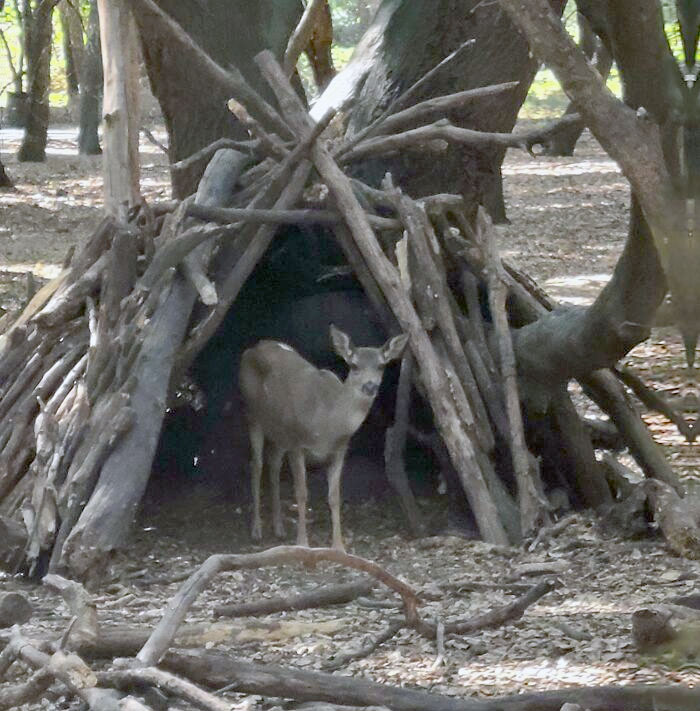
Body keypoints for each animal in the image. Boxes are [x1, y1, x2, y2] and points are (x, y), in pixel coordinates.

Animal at [239, 322, 408, 552]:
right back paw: (256, 531)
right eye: (354, 365)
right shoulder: (297, 443)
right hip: (253, 415)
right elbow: (301, 493)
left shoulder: (340, 450)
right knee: (256, 464)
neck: (326, 424)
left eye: (382, 366)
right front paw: (302, 543)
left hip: (281, 432)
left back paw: (279, 529)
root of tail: (255, 346)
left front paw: (339, 546)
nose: (370, 386)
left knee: (273, 464)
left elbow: (334, 497)